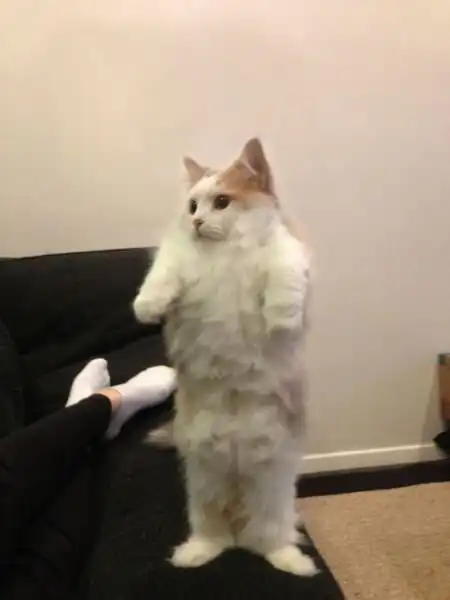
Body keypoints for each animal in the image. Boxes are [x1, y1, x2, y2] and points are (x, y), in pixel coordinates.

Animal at [133, 138, 315, 576]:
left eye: (221, 202)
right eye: (192, 206)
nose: (197, 222)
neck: (224, 255)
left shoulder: (288, 256)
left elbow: (284, 279)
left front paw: (281, 318)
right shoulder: (175, 260)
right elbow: (161, 277)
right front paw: (145, 308)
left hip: (272, 486)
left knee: (266, 536)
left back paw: (291, 562)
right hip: (203, 482)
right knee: (216, 532)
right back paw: (194, 555)